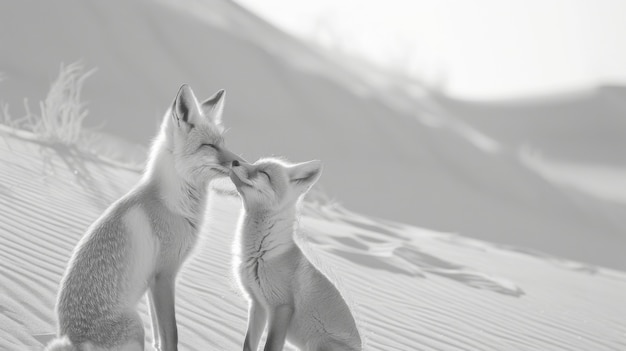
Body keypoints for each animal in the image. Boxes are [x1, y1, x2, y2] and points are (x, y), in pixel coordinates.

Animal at [45, 86, 241, 351]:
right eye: (209, 146)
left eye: (223, 143)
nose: (239, 162)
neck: (174, 204)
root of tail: (72, 340)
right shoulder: (164, 276)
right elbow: (171, 335)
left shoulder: (152, 282)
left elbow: (159, 336)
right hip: (137, 326)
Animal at [229, 159, 358, 351]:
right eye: (255, 163)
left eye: (264, 173)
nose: (235, 161)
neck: (262, 254)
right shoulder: (258, 304)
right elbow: (248, 345)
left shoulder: (282, 306)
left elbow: (271, 346)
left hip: (317, 344)